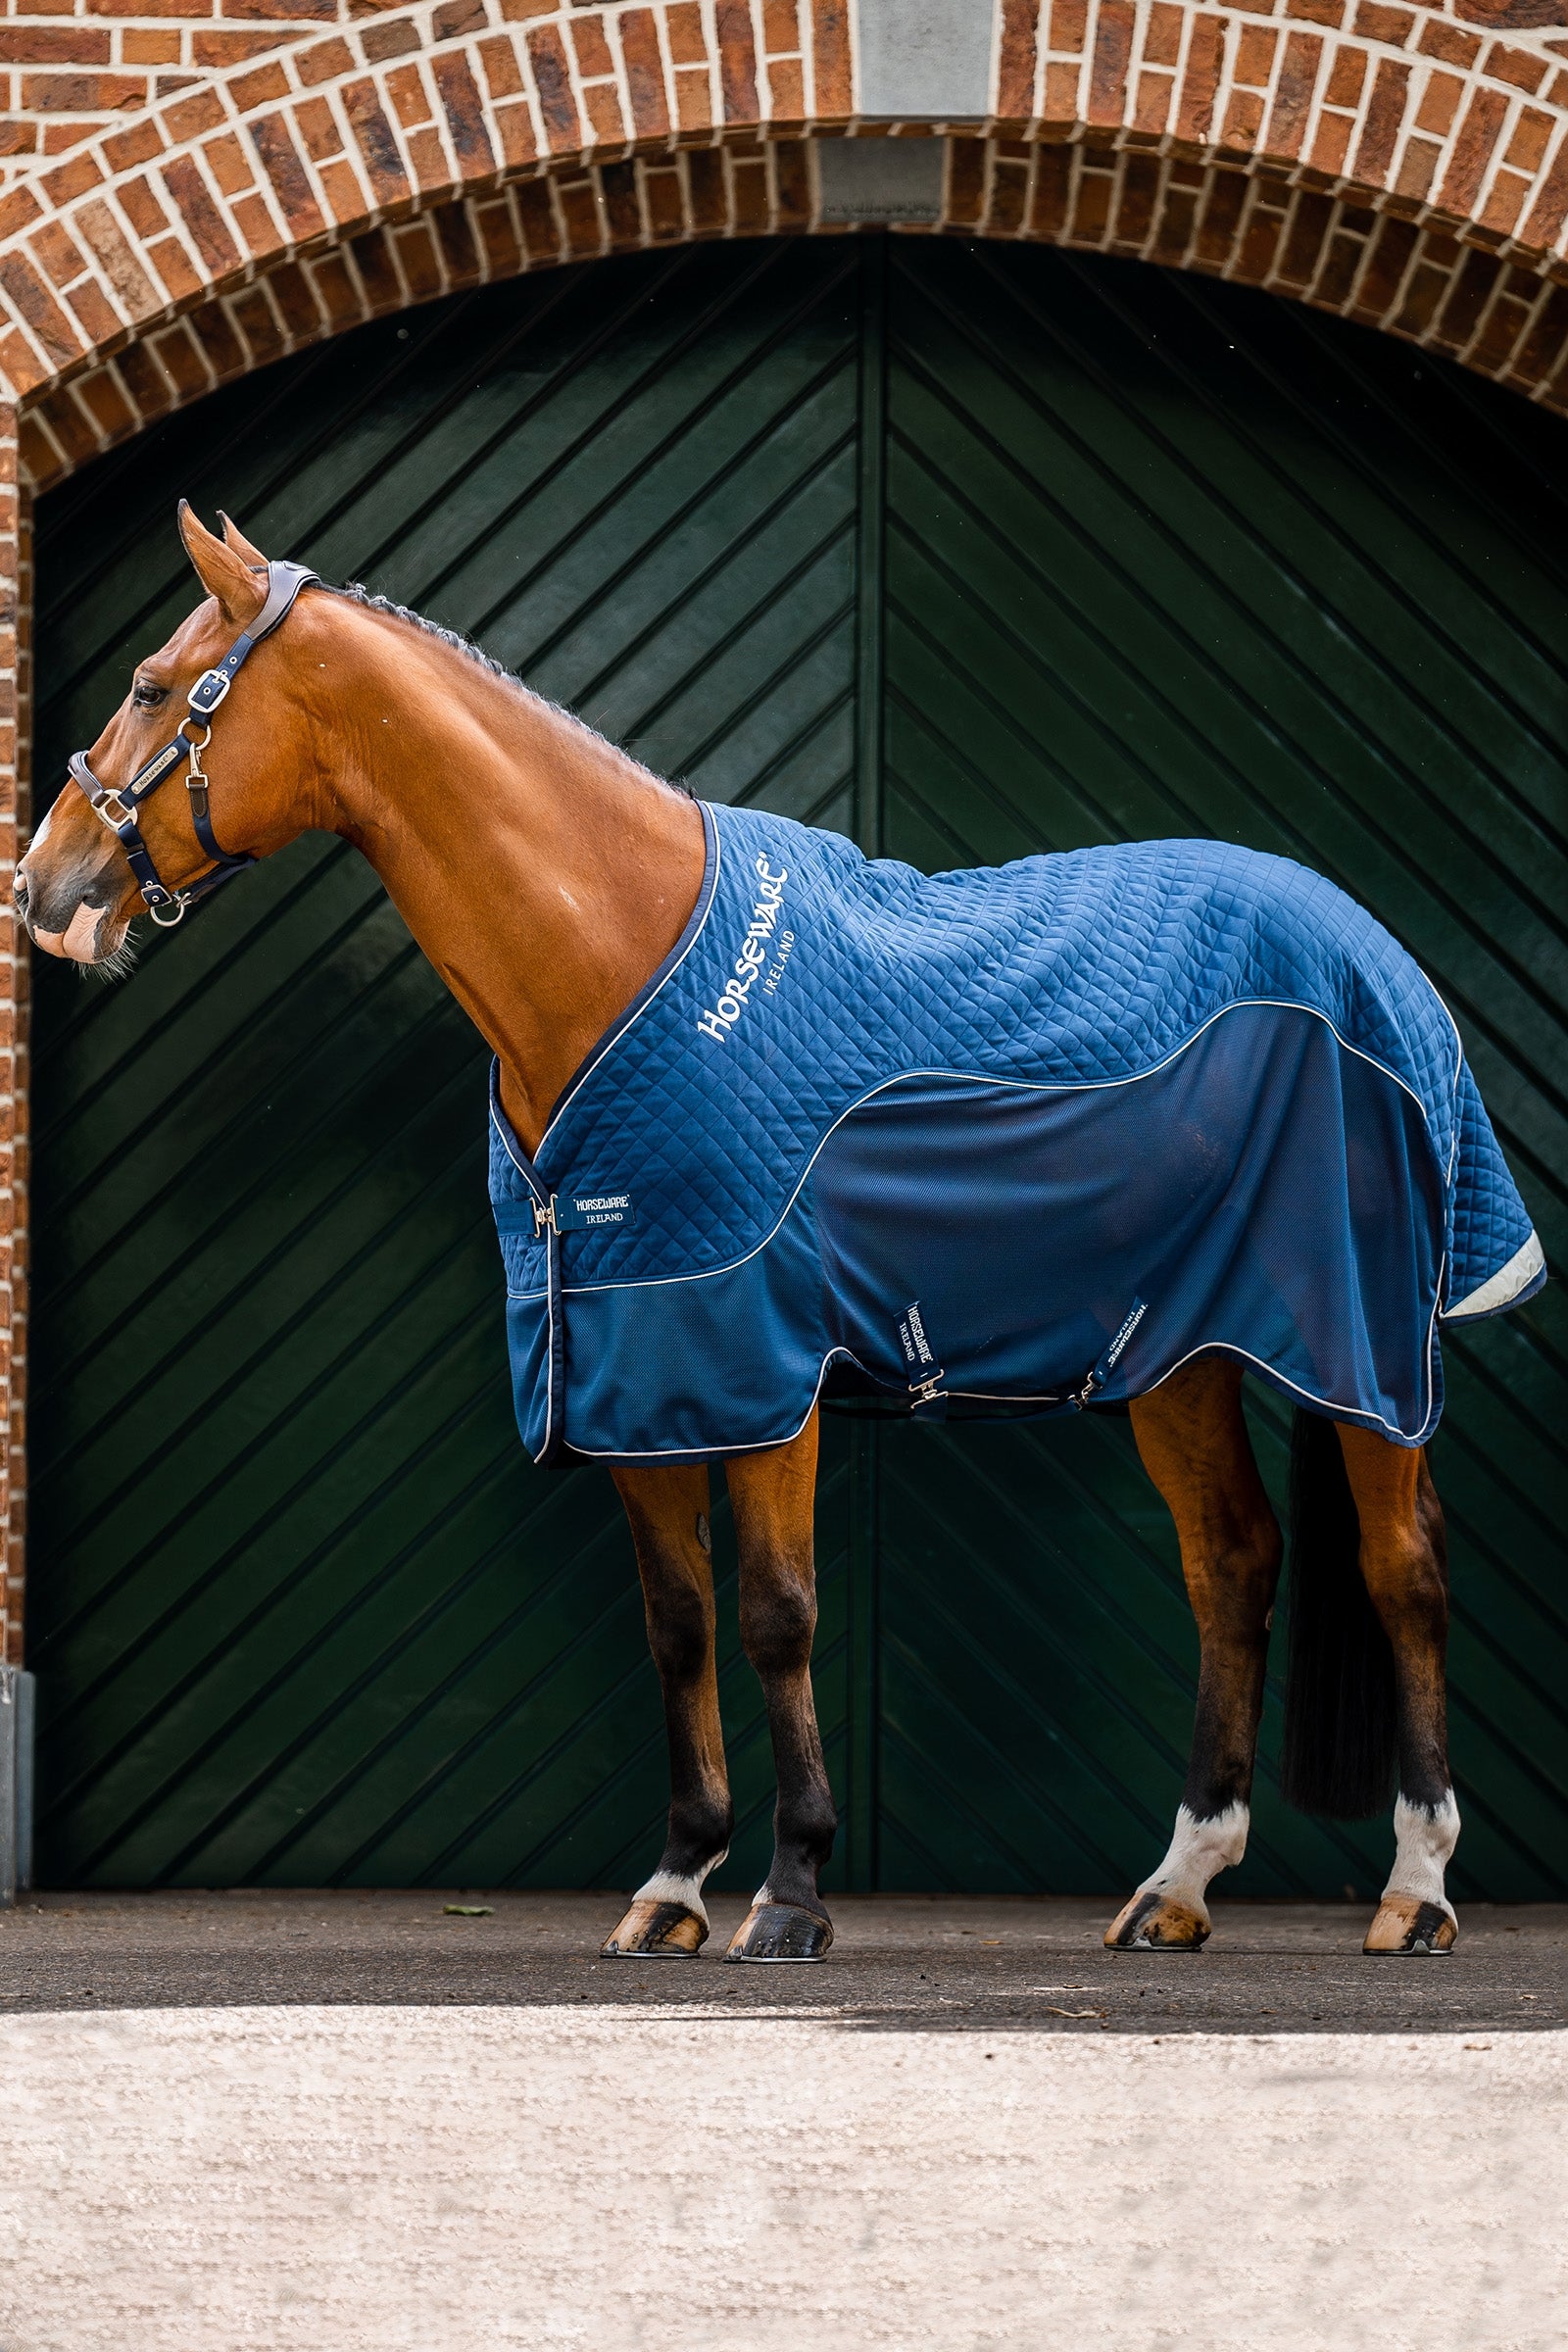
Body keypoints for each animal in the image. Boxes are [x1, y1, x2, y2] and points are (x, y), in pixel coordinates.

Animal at [16, 505, 1540, 1966]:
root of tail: (1372, 952)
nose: (42, 889)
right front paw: (675, 1885)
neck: (615, 951)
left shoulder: (759, 1366)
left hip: (1360, 1349)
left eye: (152, 686)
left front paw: (794, 1894)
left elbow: (776, 1616)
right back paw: (1178, 1885)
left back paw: (1414, 1892)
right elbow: (679, 1627)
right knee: (1232, 1561)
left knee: (1402, 1571)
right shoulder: (633, 1373)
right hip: (1178, 1350)